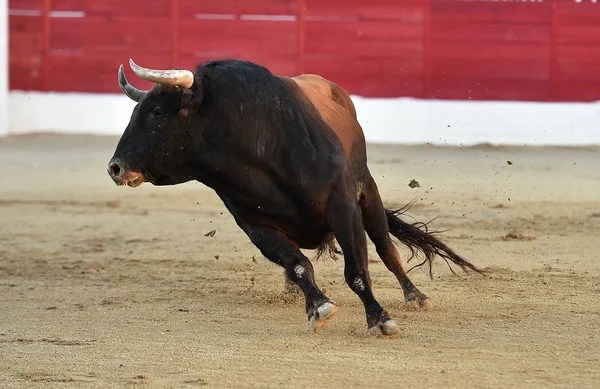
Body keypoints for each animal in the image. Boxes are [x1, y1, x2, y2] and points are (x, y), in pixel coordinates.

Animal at [108, 57, 482, 336]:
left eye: (158, 113)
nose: (115, 167)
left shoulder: (343, 207)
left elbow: (357, 270)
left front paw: (379, 319)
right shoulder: (255, 225)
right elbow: (299, 264)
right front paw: (318, 305)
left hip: (368, 191)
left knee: (387, 250)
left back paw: (416, 296)